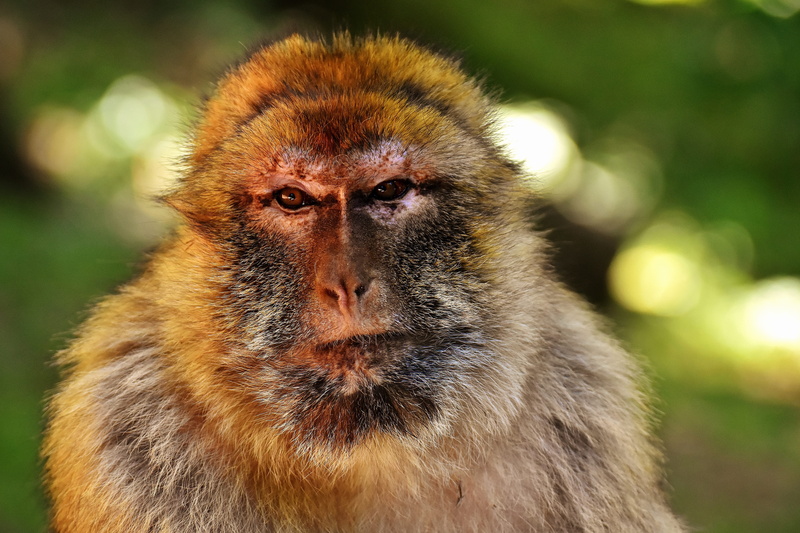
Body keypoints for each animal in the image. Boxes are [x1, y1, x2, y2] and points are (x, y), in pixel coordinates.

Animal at [42, 33, 685, 532]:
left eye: (389, 191)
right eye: (292, 199)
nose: (346, 283)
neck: (365, 452)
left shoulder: (585, 417)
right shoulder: (128, 431)